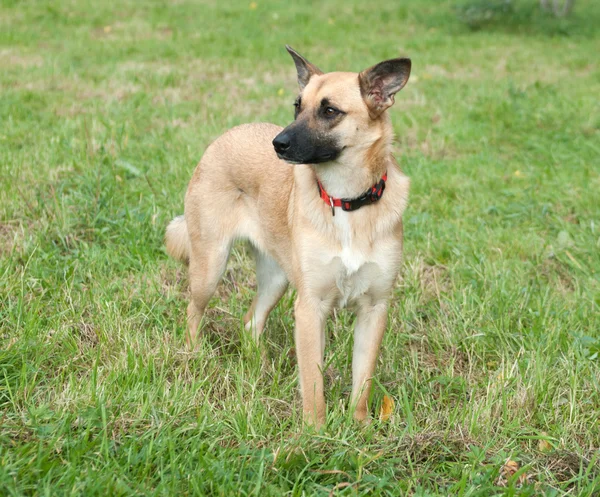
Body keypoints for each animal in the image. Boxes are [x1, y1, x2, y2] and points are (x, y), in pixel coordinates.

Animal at [168, 46, 412, 426]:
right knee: (193, 312)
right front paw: (315, 430)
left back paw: (260, 368)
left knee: (251, 322)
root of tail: (226, 135)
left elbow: (363, 381)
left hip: (276, 278)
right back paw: (195, 355)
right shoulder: (310, 308)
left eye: (330, 111)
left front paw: (360, 426)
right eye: (298, 105)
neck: (346, 202)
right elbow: (312, 382)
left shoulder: (374, 310)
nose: (277, 144)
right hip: (210, 267)